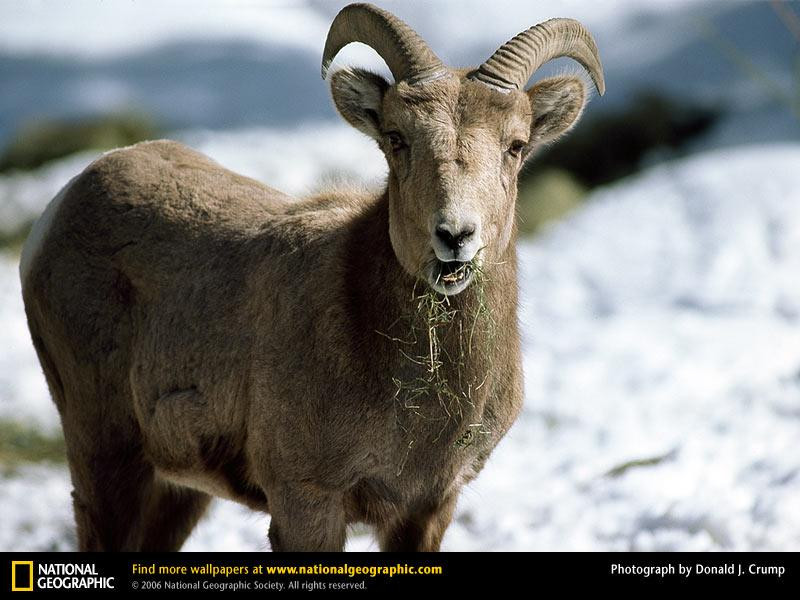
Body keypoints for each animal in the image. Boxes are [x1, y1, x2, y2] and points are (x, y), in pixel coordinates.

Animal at [18, 2, 604, 552]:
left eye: (516, 145)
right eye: (397, 138)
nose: (454, 236)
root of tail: (59, 209)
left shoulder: (428, 508)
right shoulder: (307, 501)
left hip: (177, 489)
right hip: (106, 459)